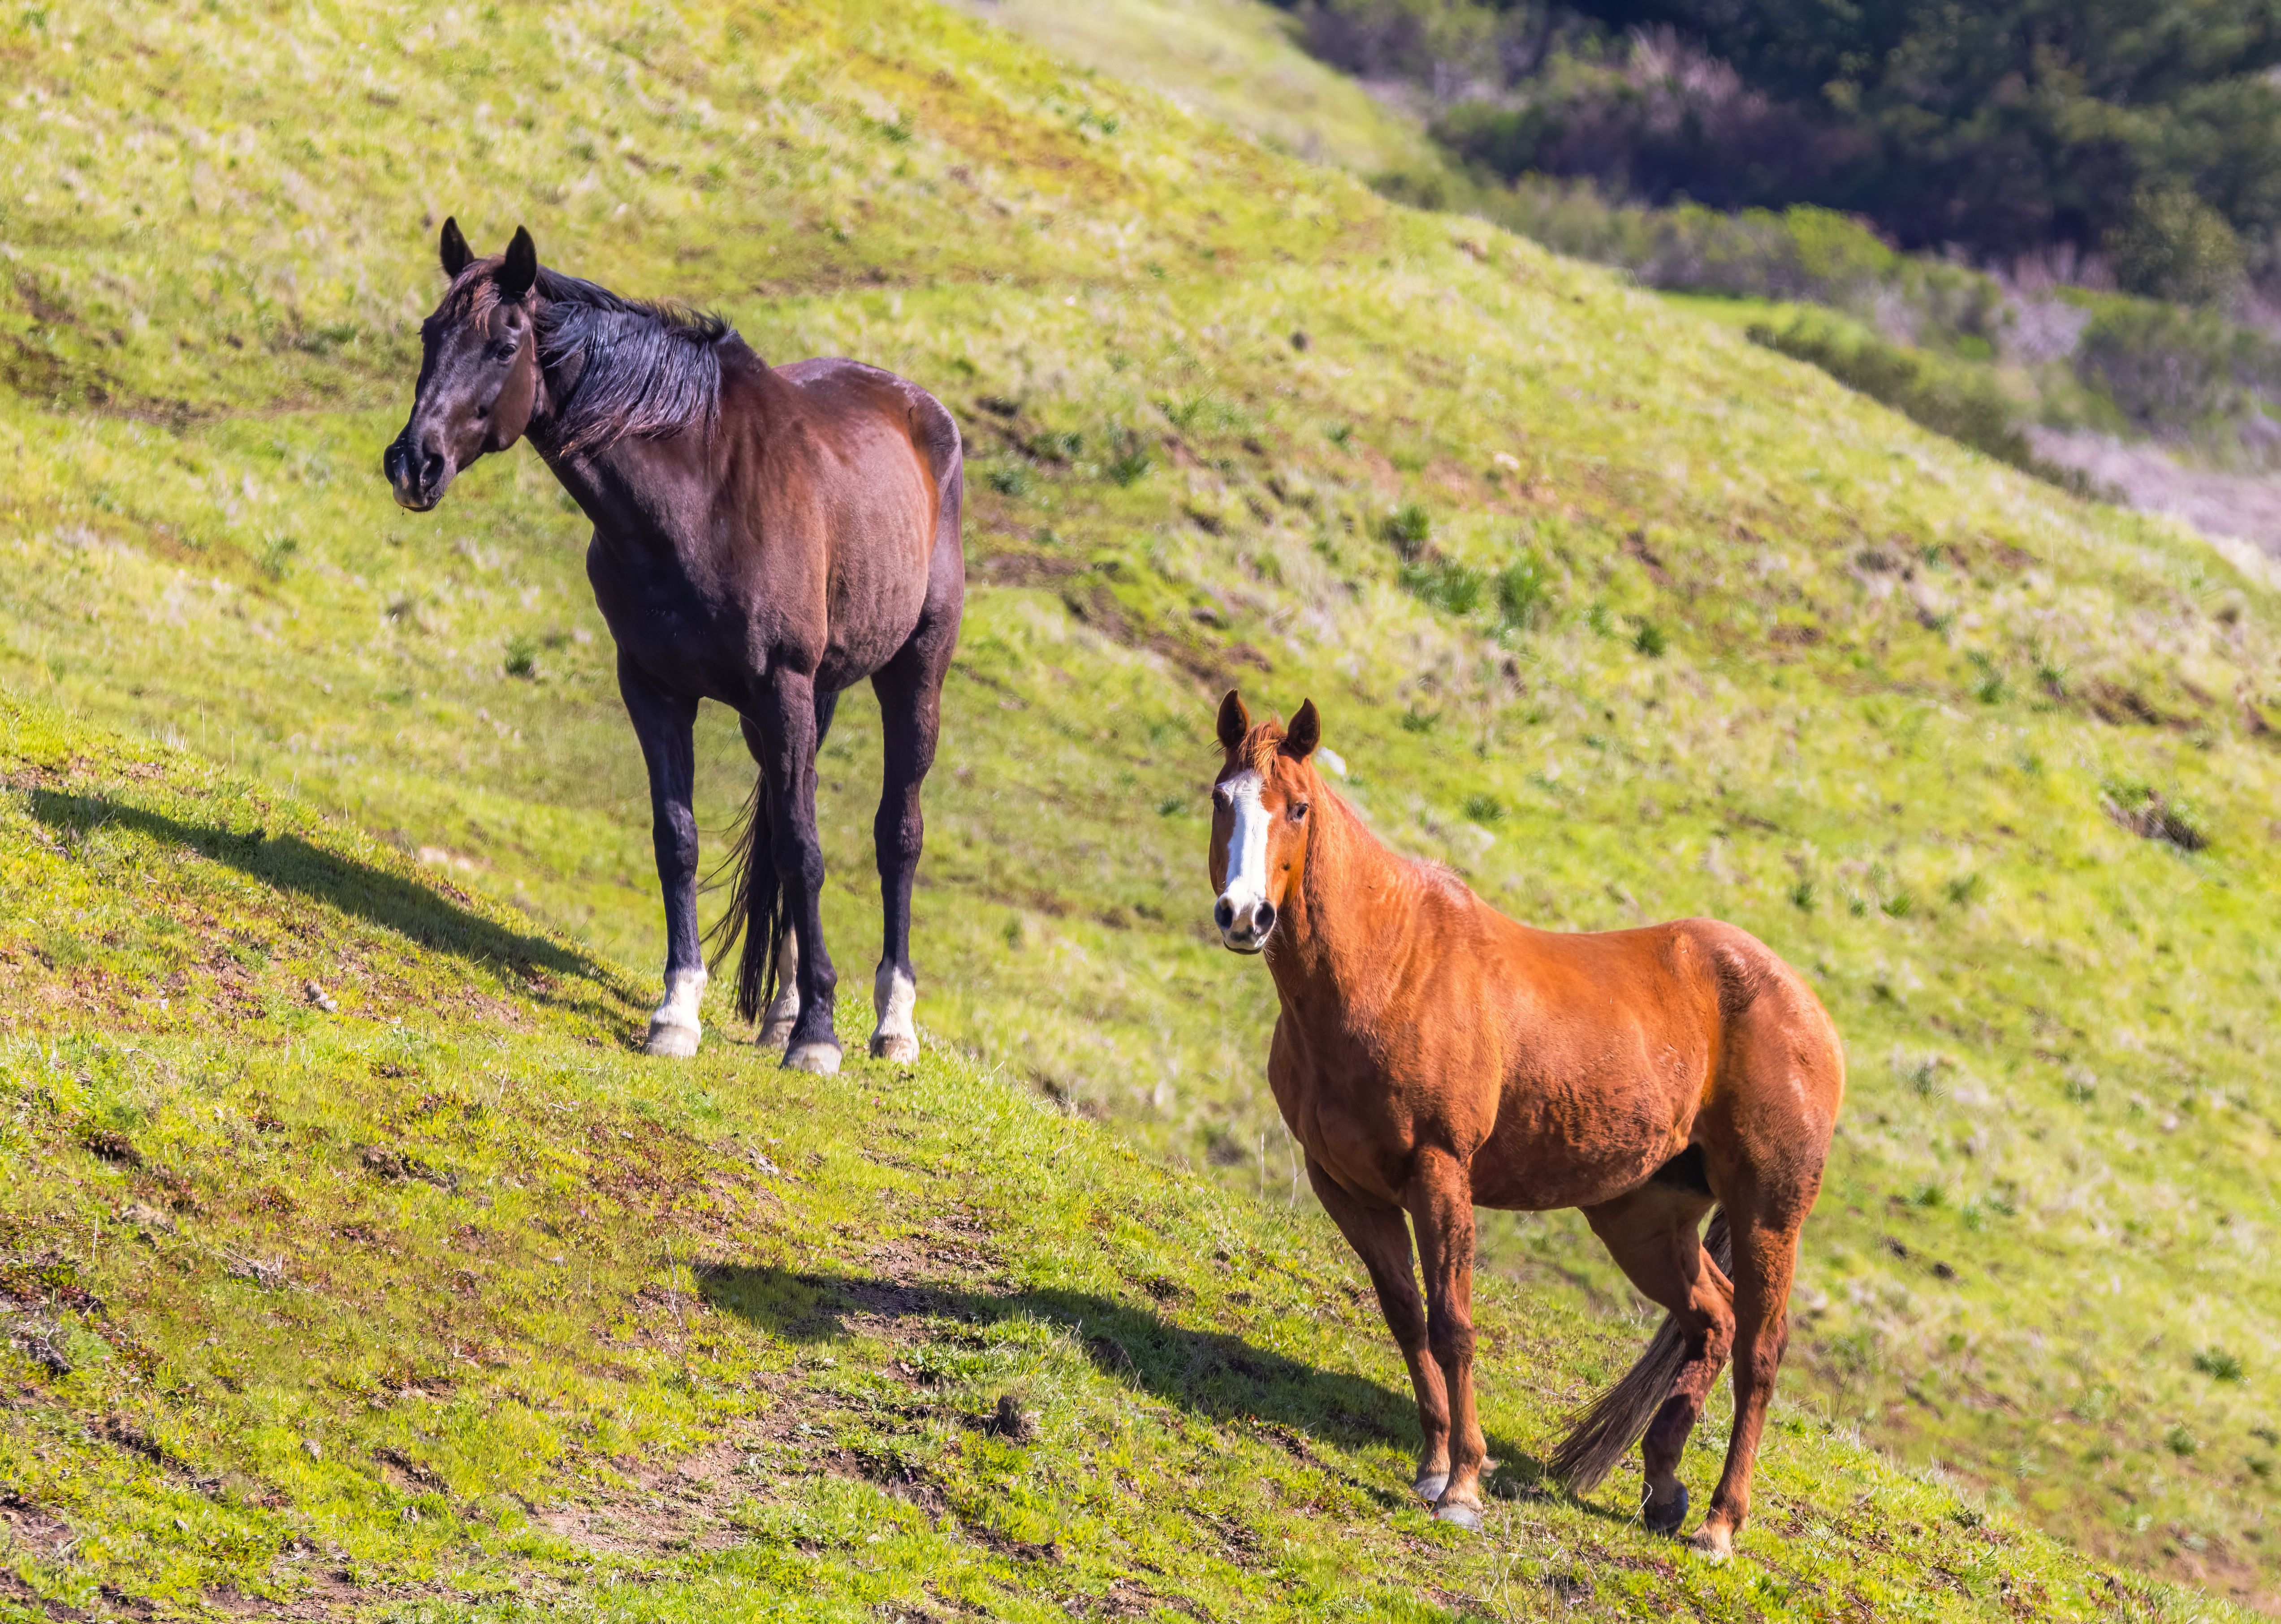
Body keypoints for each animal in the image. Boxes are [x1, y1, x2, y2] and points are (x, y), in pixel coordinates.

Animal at [383, 220, 963, 1073]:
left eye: (505, 343)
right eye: (430, 333)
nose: (413, 463)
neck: (699, 497)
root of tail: (921, 412)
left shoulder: (782, 686)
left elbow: (806, 847)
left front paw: (821, 1035)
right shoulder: (656, 689)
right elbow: (680, 838)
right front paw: (678, 1011)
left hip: (909, 674)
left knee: (898, 834)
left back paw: (891, 1026)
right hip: (791, 708)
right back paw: (784, 1011)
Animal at [1205, 691, 1843, 1555]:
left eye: (1297, 808)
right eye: (1222, 799)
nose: (1245, 915)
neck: (1387, 968)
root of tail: (1806, 1007)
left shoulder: (1440, 1175)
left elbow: (1454, 1324)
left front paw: (1464, 1487)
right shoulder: (1346, 1186)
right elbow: (1406, 1317)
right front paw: (1433, 1465)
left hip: (1769, 1215)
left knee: (1759, 1352)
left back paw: (1718, 1524)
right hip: (1643, 1218)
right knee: (1711, 1319)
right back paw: (1664, 1489)